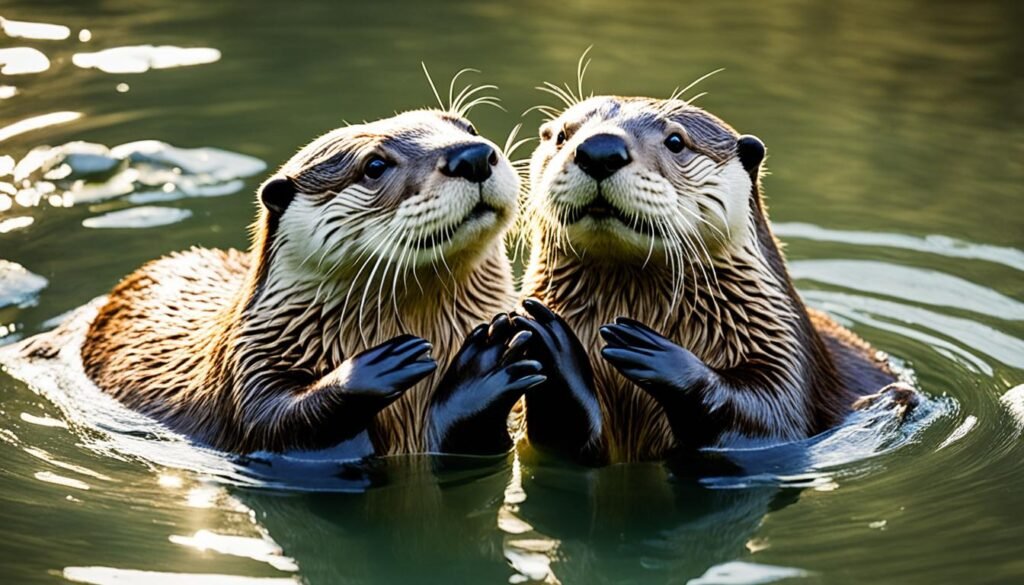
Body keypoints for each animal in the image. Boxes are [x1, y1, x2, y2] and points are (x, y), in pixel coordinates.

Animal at [45, 109, 548, 456]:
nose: (473, 155)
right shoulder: (248, 369)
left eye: (468, 127)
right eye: (374, 165)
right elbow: (275, 423)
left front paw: (487, 366)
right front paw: (377, 366)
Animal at [516, 93, 917, 465]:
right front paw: (553, 351)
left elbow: (767, 414)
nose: (599, 149)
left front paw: (657, 355)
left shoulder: (787, 359)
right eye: (563, 135)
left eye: (675, 141)